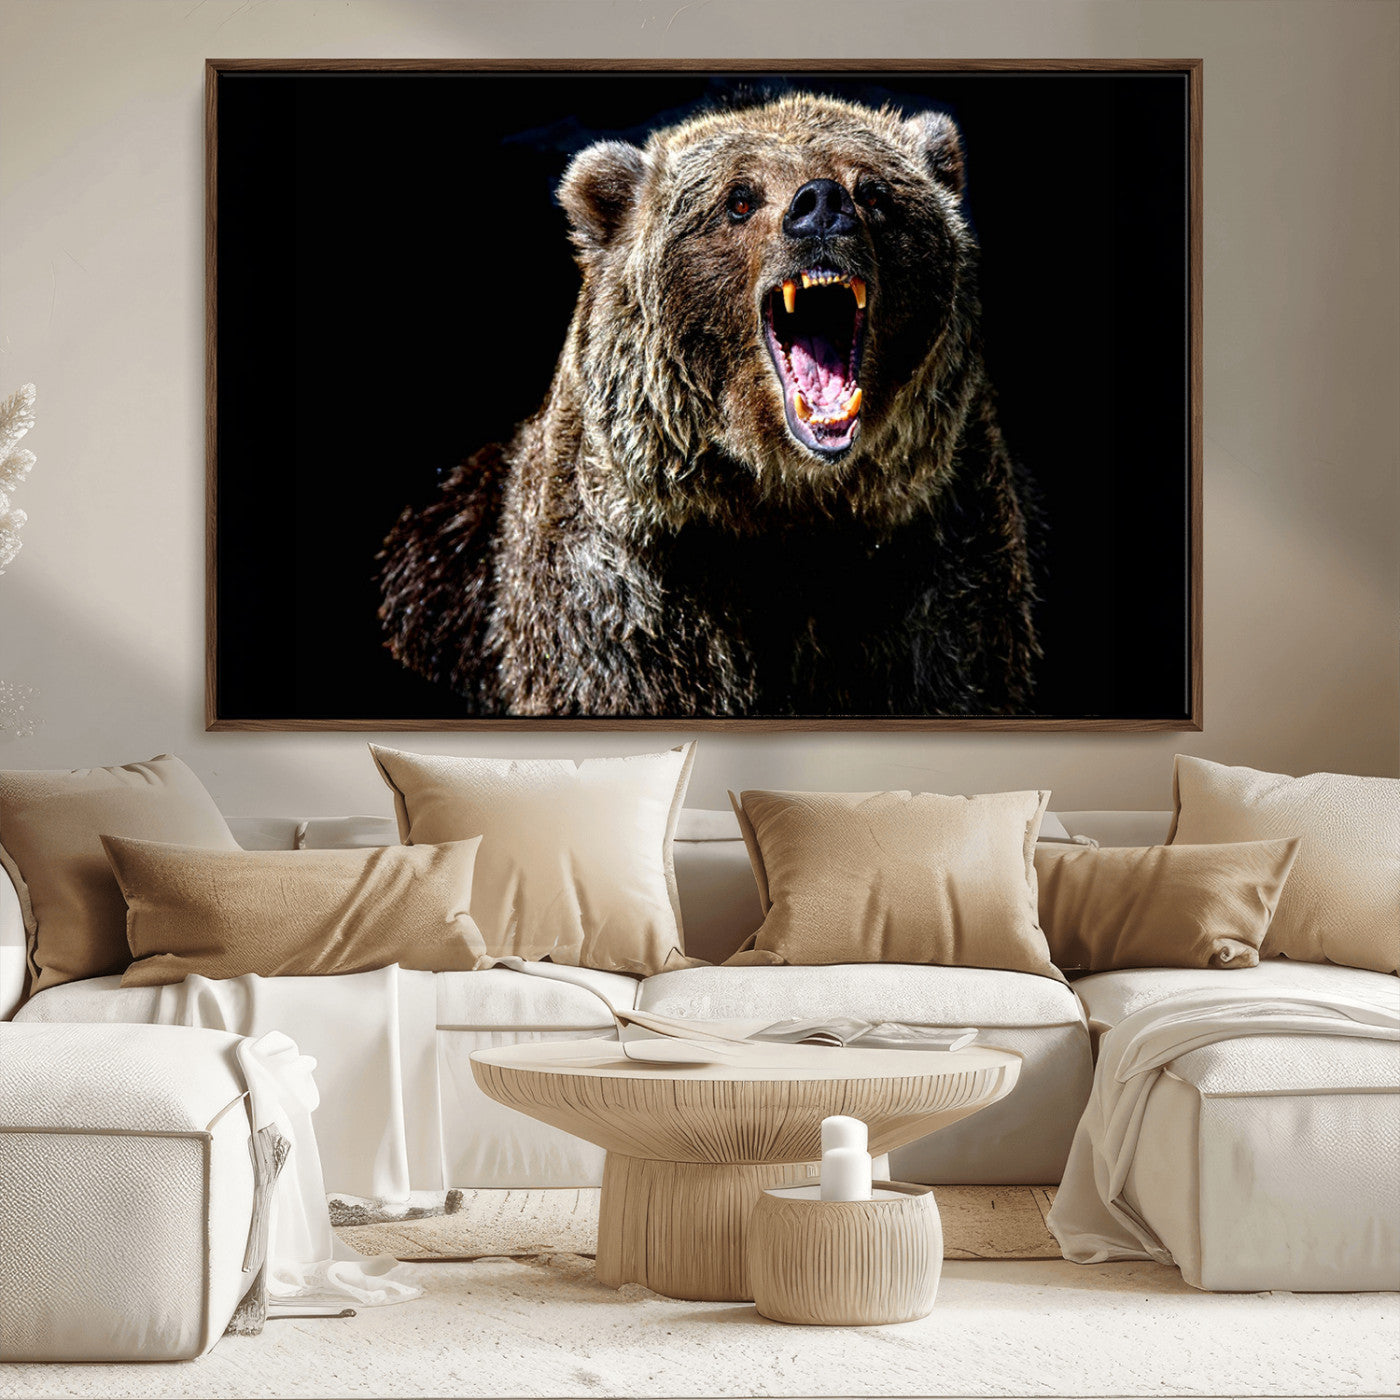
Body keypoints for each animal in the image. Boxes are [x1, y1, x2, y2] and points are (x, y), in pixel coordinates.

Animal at [378, 93, 1039, 717]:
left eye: (874, 191)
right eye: (739, 199)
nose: (821, 205)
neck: (782, 506)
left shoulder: (930, 573)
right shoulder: (628, 599)